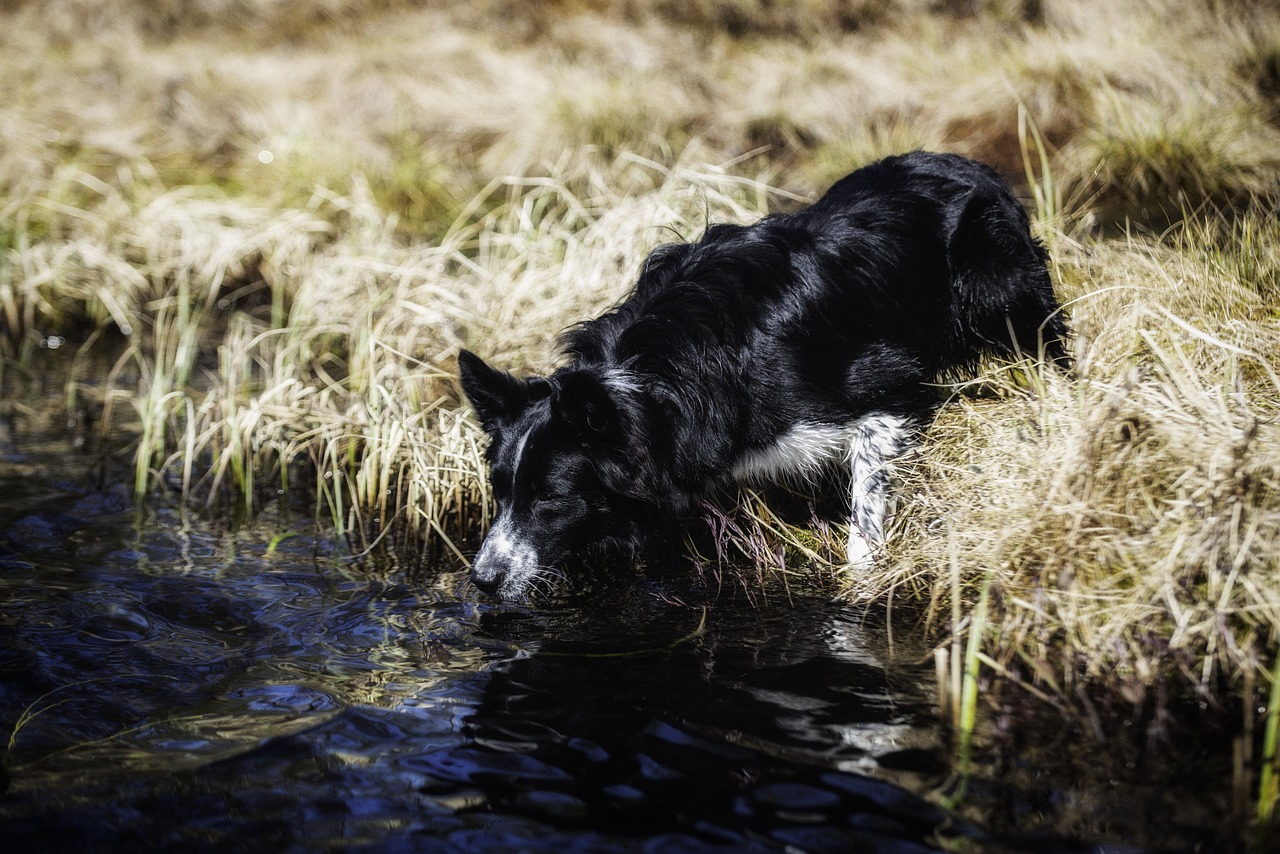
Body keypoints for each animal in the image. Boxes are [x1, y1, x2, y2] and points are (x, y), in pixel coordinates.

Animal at [455, 151, 1064, 601]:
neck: (651, 385)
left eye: (549, 500)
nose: (482, 581)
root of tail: (970, 164)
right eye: (499, 492)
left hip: (998, 286)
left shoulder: (886, 392)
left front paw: (860, 584)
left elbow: (864, 516)